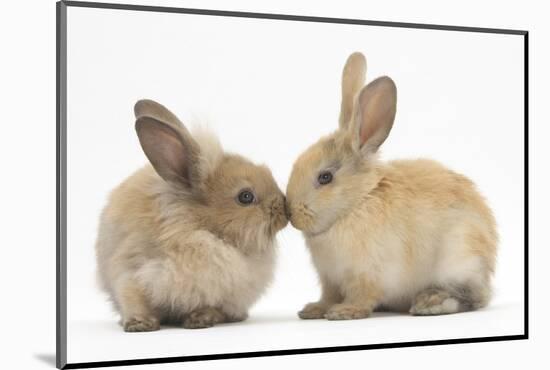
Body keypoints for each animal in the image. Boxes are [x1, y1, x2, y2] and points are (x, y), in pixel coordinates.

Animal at [96, 97, 288, 330]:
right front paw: (140, 324)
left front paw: (201, 319)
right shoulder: (130, 272)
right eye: (245, 197)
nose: (284, 209)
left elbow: (210, 305)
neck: (200, 229)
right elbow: (134, 300)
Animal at [286, 52, 498, 320]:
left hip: (461, 259)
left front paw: (344, 312)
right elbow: (328, 296)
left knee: (474, 297)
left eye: (325, 177)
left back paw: (431, 303)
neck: (357, 203)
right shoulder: (329, 278)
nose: (291, 213)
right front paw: (313, 310)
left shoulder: (367, 274)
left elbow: (362, 296)